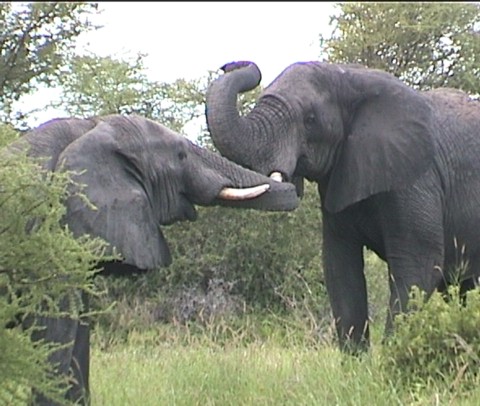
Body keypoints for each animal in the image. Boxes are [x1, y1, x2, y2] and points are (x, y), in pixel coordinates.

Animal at [205, 60, 480, 353]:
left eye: (310, 120)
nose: (234, 64)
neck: (349, 76)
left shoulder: (417, 178)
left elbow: (418, 264)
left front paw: (392, 353)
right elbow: (340, 266)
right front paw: (355, 361)